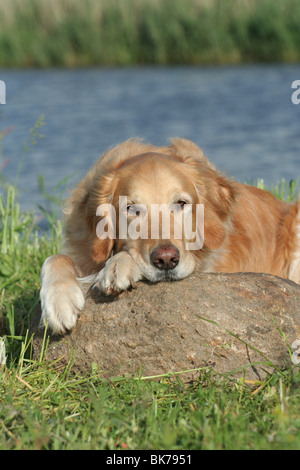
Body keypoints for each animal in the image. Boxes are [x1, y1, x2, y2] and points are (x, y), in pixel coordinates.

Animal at [39, 139, 300, 334]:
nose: (166, 260)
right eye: (131, 209)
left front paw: (117, 266)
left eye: (181, 203)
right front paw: (59, 301)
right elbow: (55, 258)